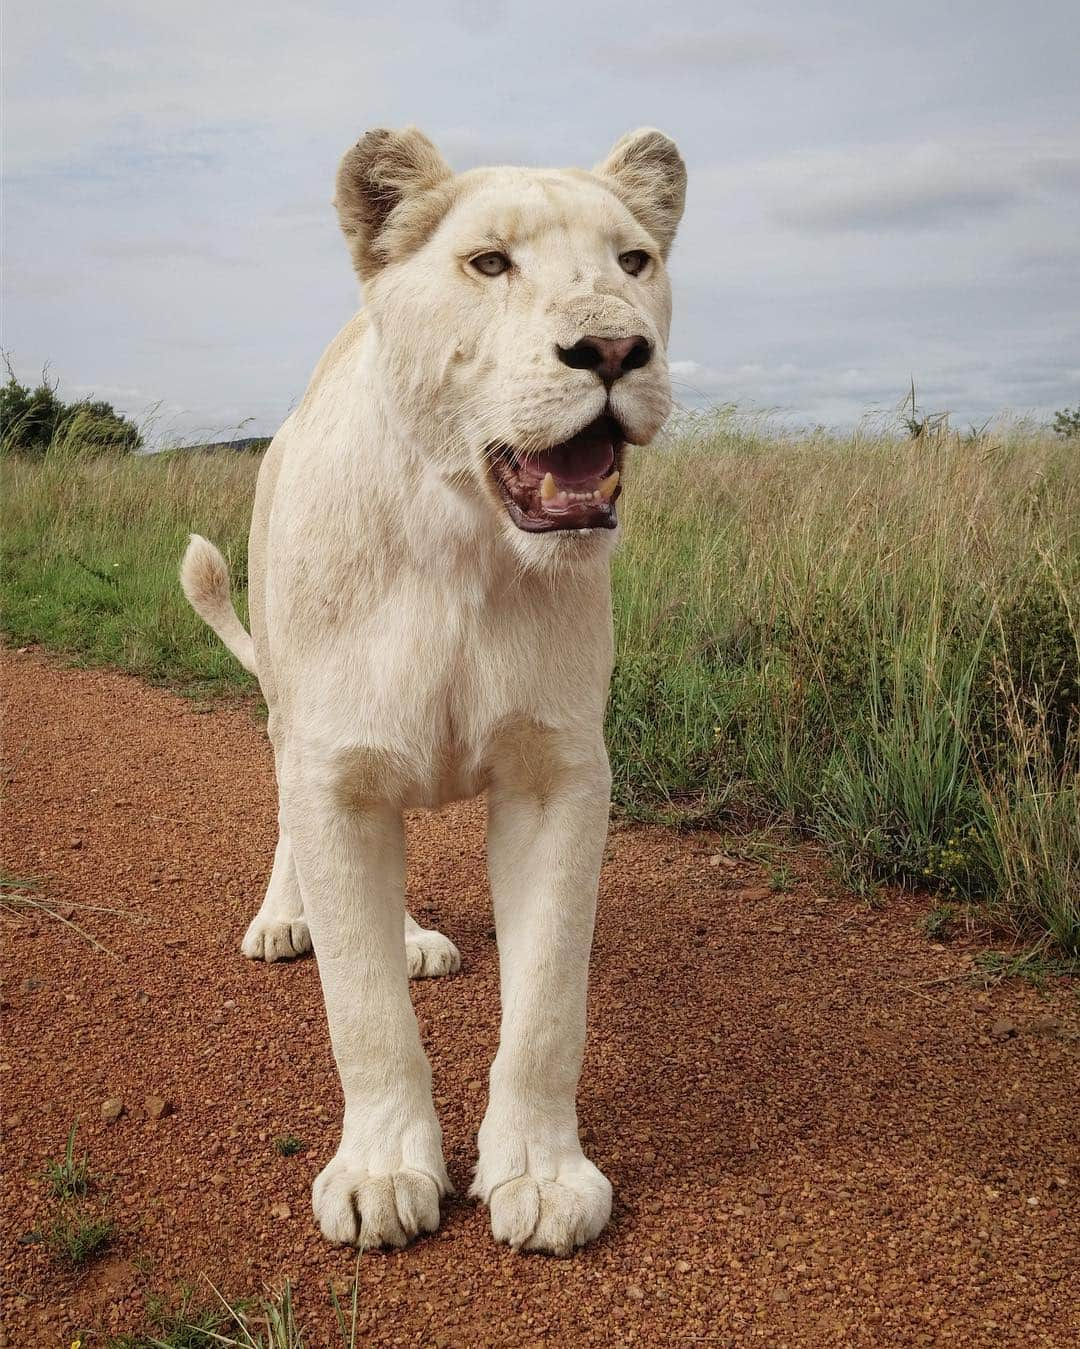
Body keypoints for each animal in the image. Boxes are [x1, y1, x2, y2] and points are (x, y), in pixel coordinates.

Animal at [176, 126, 682, 1251]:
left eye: (633, 261)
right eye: (489, 263)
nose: (614, 350)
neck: (463, 546)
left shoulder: (557, 772)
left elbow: (547, 1006)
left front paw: (540, 1175)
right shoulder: (334, 769)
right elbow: (362, 1010)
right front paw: (380, 1174)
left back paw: (407, 935)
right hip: (293, 715)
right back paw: (289, 919)